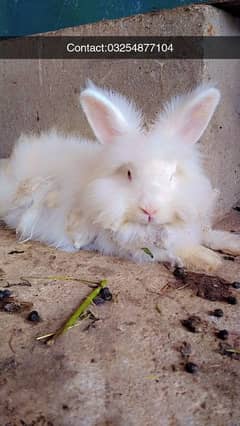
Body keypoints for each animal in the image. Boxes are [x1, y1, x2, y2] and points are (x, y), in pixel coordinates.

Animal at [0, 81, 240, 272]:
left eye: (171, 175)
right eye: (129, 174)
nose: (149, 210)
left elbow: (207, 234)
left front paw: (232, 243)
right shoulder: (131, 247)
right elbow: (175, 250)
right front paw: (208, 259)